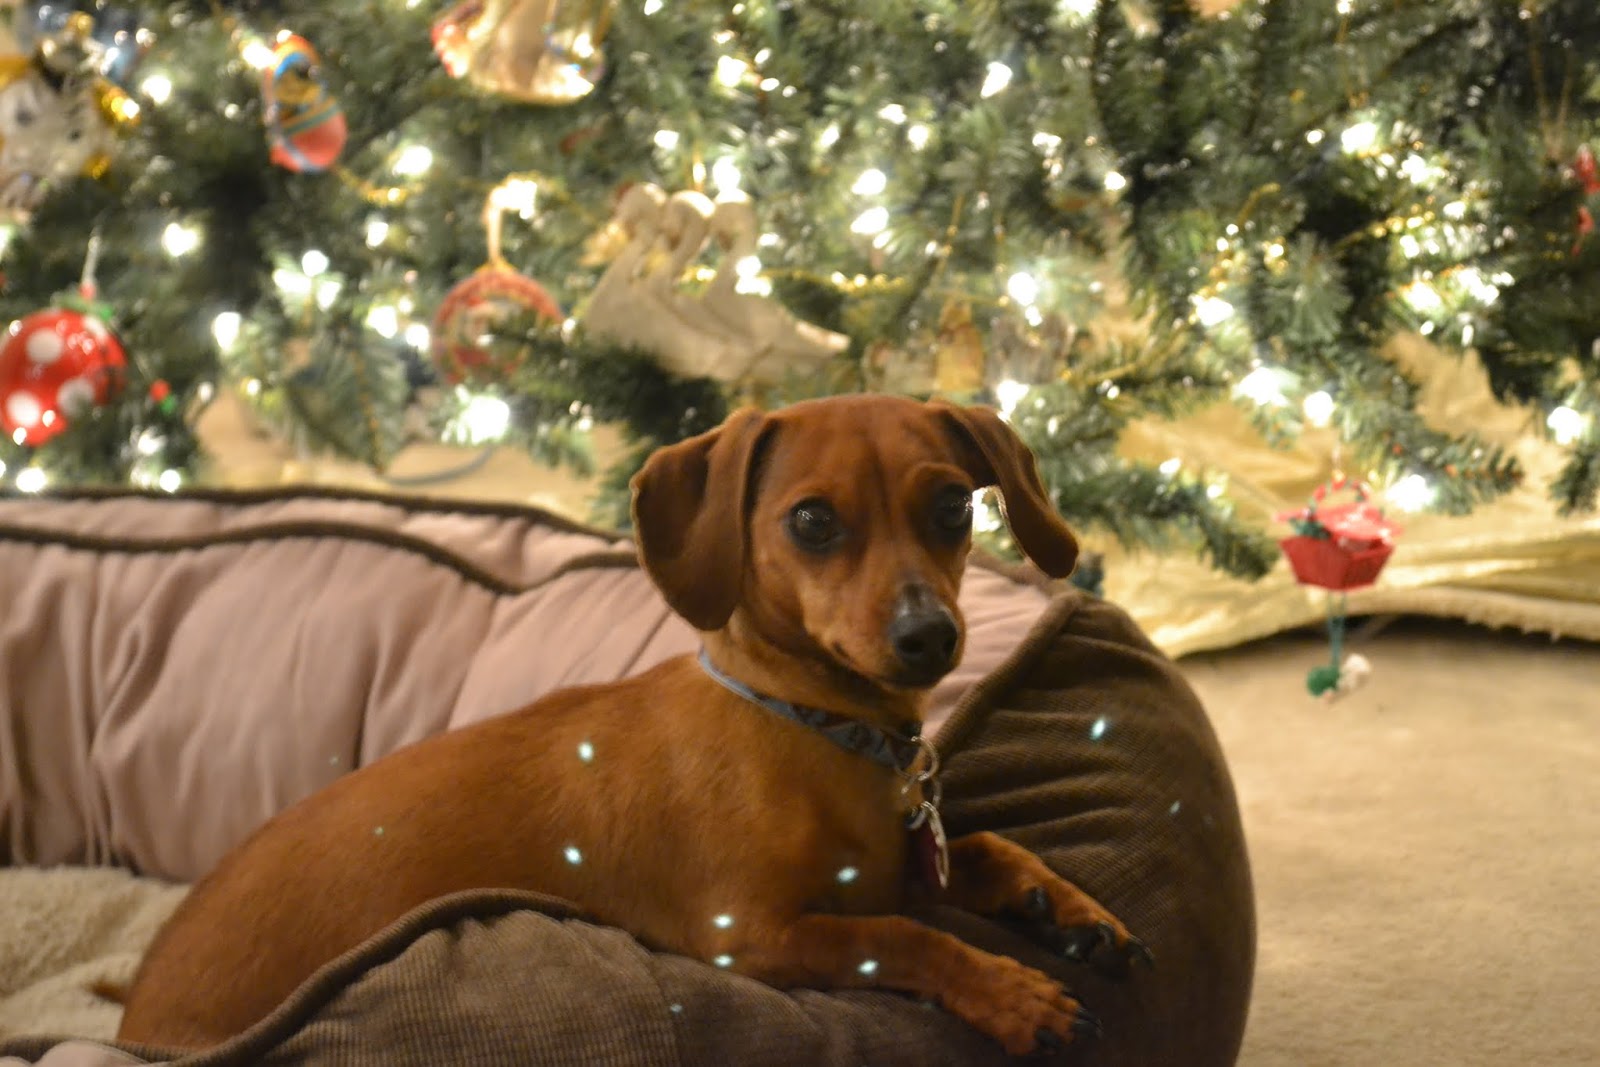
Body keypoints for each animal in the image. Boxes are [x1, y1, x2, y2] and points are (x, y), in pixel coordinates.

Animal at [121, 396, 1152, 1055]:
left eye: (951, 505)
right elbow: (908, 937)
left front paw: (1065, 907)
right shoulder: (752, 937)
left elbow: (981, 850)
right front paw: (1013, 991)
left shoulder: (898, 868)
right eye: (813, 521)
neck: (813, 726)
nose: (929, 636)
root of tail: (130, 1012)